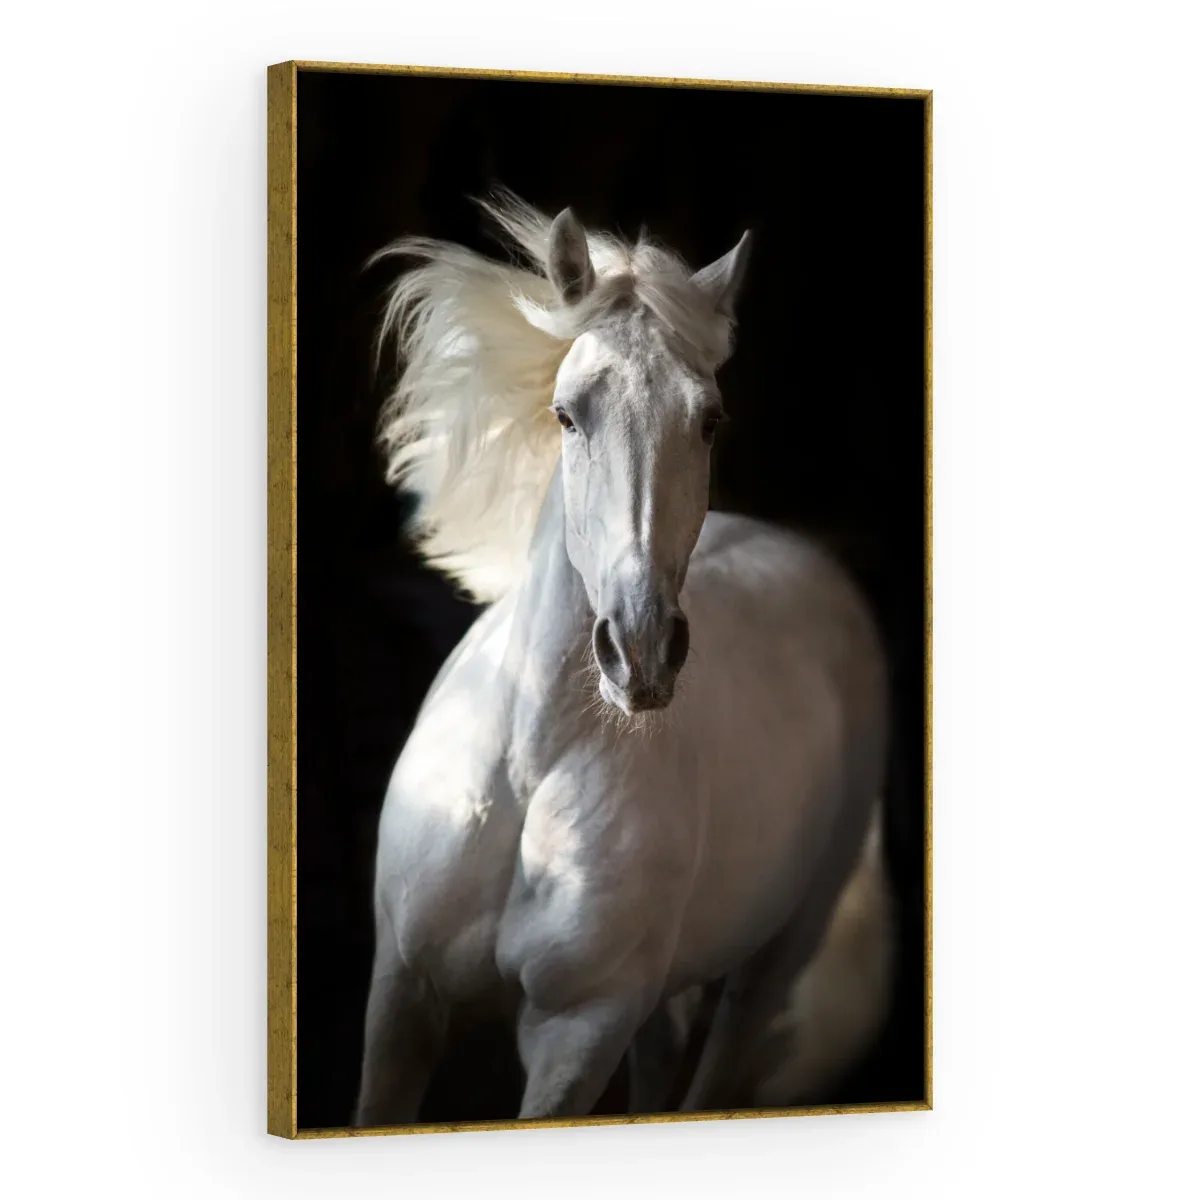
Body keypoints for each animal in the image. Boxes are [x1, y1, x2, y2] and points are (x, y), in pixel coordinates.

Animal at [352, 188, 894, 1124]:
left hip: (774, 959)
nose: (640, 652)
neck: (528, 768)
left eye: (709, 419)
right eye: (568, 413)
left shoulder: (581, 1031)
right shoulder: (402, 998)